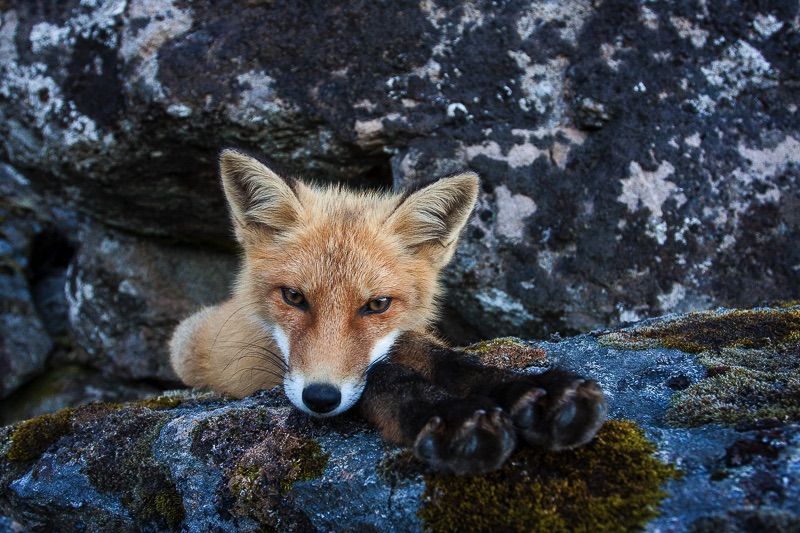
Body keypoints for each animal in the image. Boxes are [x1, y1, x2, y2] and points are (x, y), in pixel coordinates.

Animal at [170, 148, 608, 472]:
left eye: (377, 305)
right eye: (293, 297)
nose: (321, 399)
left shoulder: (406, 336)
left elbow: (451, 360)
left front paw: (533, 390)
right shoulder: (257, 360)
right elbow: (384, 376)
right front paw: (450, 414)